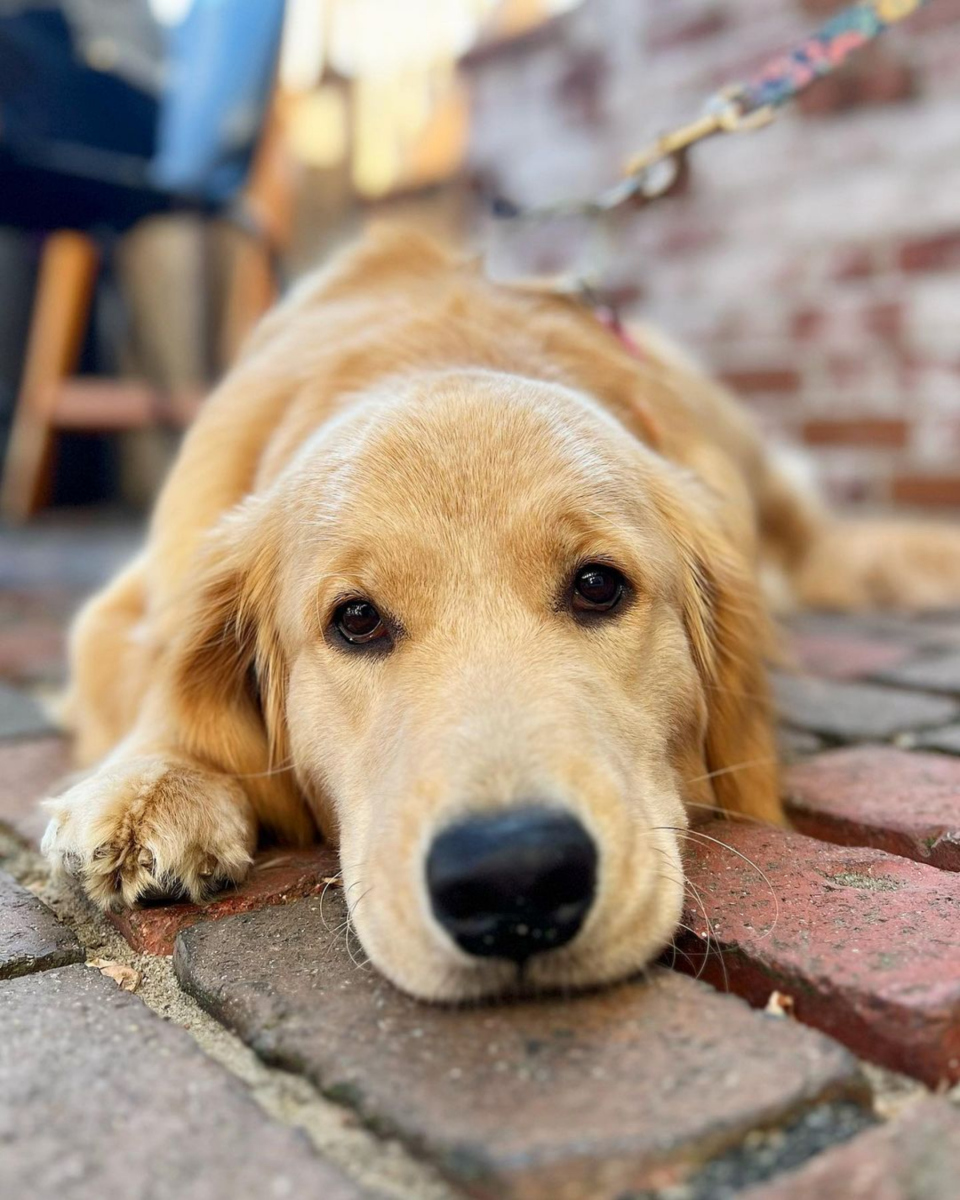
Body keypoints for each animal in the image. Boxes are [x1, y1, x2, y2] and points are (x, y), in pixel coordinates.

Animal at [45, 226, 960, 1003]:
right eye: (356, 619)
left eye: (598, 586)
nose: (513, 879)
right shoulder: (129, 603)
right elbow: (154, 683)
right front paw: (160, 780)